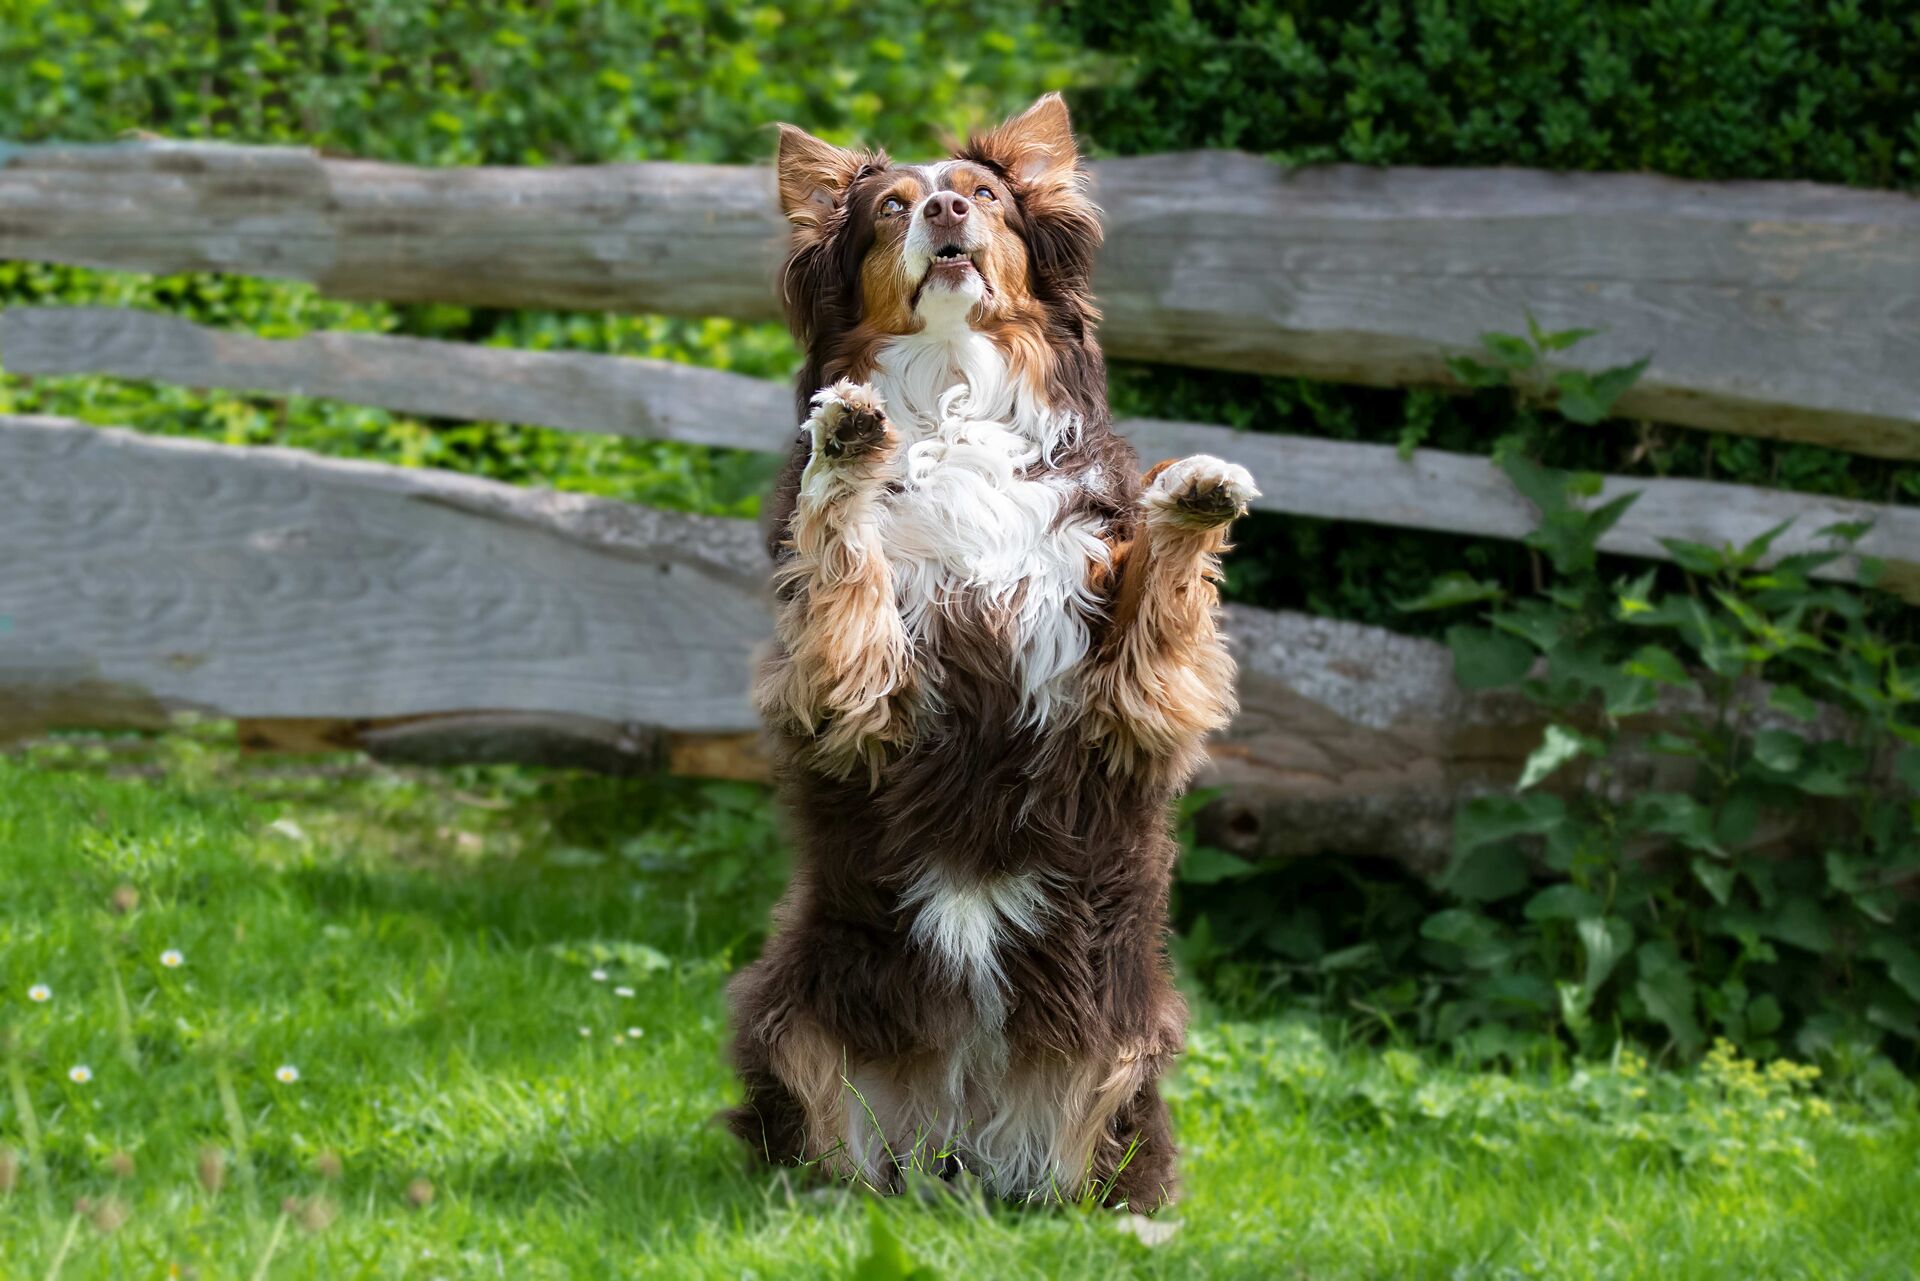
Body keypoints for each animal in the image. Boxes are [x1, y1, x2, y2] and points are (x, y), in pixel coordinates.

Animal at [721, 92, 1259, 1213]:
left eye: (984, 195)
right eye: (890, 206)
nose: (942, 209)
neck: (956, 387)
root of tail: (955, 1144)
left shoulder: (1124, 696)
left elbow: (1161, 598)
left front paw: (1191, 497)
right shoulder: (850, 686)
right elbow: (845, 554)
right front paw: (847, 442)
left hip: (1124, 1048)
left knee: (1096, 1179)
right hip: (792, 1018)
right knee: (821, 1160)